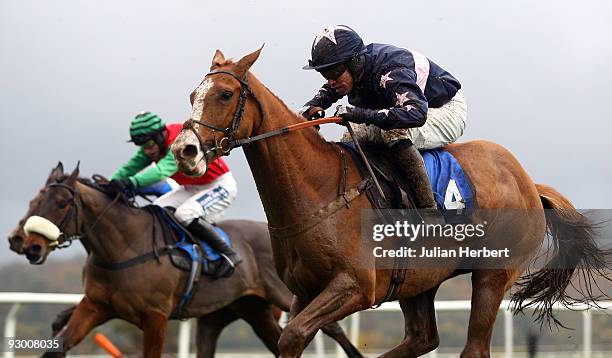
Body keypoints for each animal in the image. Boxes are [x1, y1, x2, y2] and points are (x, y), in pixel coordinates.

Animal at [7, 163, 360, 358]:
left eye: (62, 202)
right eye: (34, 200)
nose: (28, 245)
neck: (123, 247)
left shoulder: (156, 317)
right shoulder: (96, 305)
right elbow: (56, 346)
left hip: (288, 295)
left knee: (331, 329)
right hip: (248, 310)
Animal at [169, 48, 612, 358]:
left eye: (225, 94)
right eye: (192, 94)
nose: (185, 150)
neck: (318, 188)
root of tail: (527, 181)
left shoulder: (355, 287)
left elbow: (293, 336)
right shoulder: (304, 290)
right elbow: (289, 338)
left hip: (492, 275)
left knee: (473, 347)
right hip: (418, 280)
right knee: (421, 338)